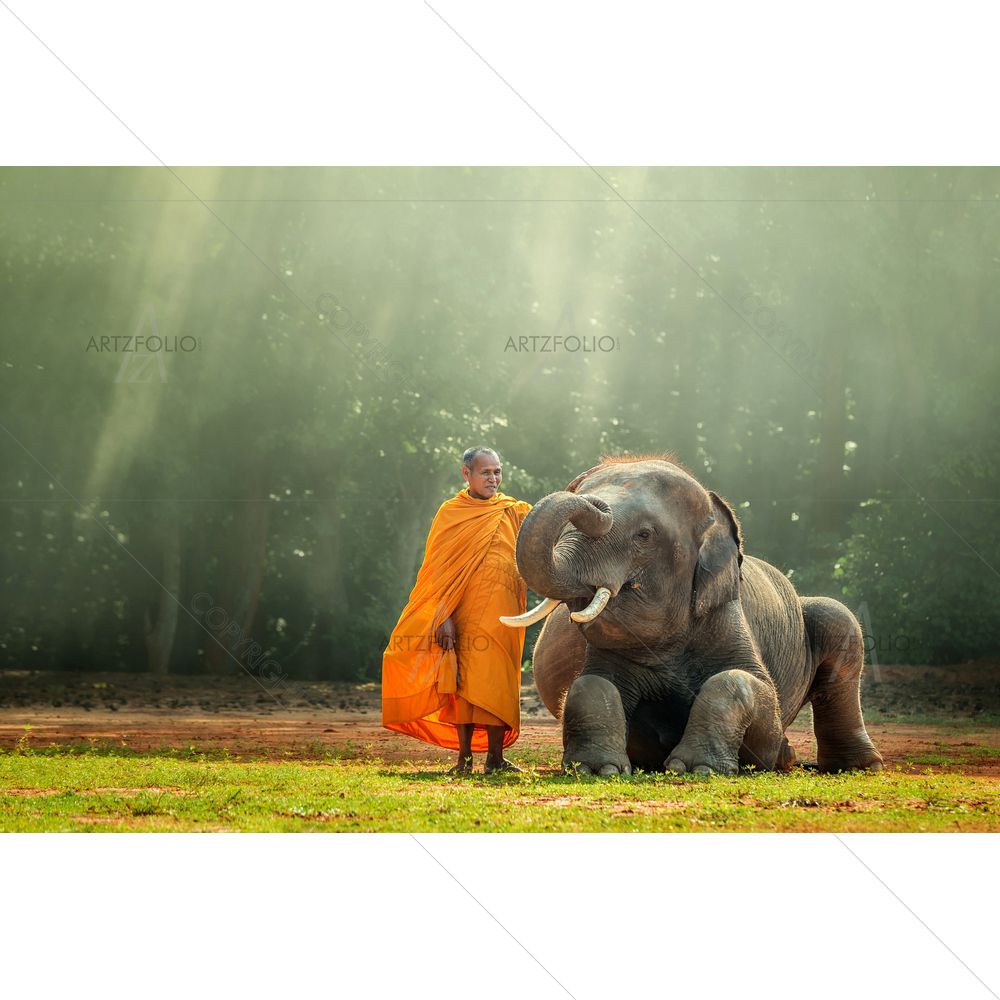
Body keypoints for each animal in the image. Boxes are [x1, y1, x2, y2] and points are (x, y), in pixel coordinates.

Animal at [500, 455, 883, 776]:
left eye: (644, 534)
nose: (590, 498)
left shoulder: (727, 618)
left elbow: (750, 686)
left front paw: (697, 768)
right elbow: (591, 683)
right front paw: (597, 770)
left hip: (829, 625)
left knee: (839, 624)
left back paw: (854, 766)